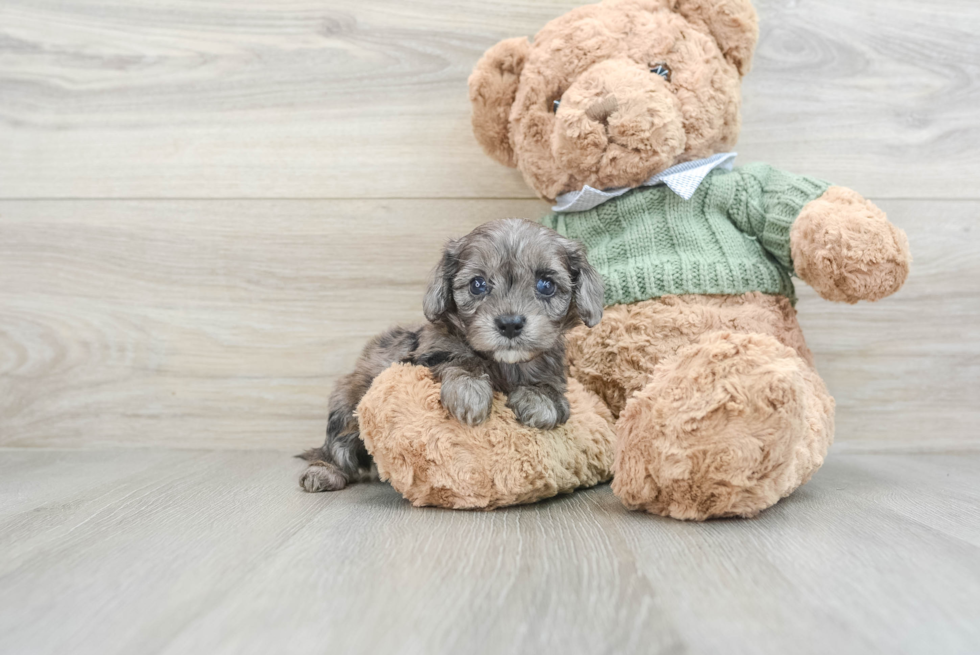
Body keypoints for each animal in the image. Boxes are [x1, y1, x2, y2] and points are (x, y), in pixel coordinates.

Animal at [298, 219, 604, 492]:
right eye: (478, 284)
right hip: (346, 403)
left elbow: (551, 390)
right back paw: (323, 472)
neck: (505, 364)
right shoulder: (429, 352)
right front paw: (469, 392)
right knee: (337, 447)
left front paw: (540, 399)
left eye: (546, 285)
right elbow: (459, 359)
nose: (510, 324)